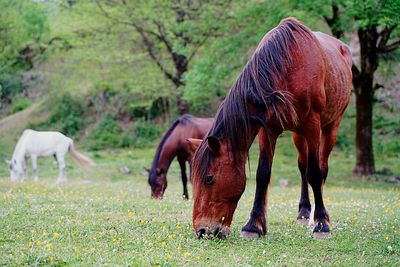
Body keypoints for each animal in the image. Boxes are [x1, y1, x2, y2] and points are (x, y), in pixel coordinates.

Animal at [189, 18, 352, 241]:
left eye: (209, 178)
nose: (202, 230)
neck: (287, 66)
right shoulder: (268, 129)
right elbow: (262, 174)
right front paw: (254, 225)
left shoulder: (312, 124)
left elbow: (315, 173)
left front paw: (321, 224)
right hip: (298, 134)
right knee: (303, 167)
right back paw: (304, 212)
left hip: (330, 127)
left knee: (321, 167)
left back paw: (315, 218)